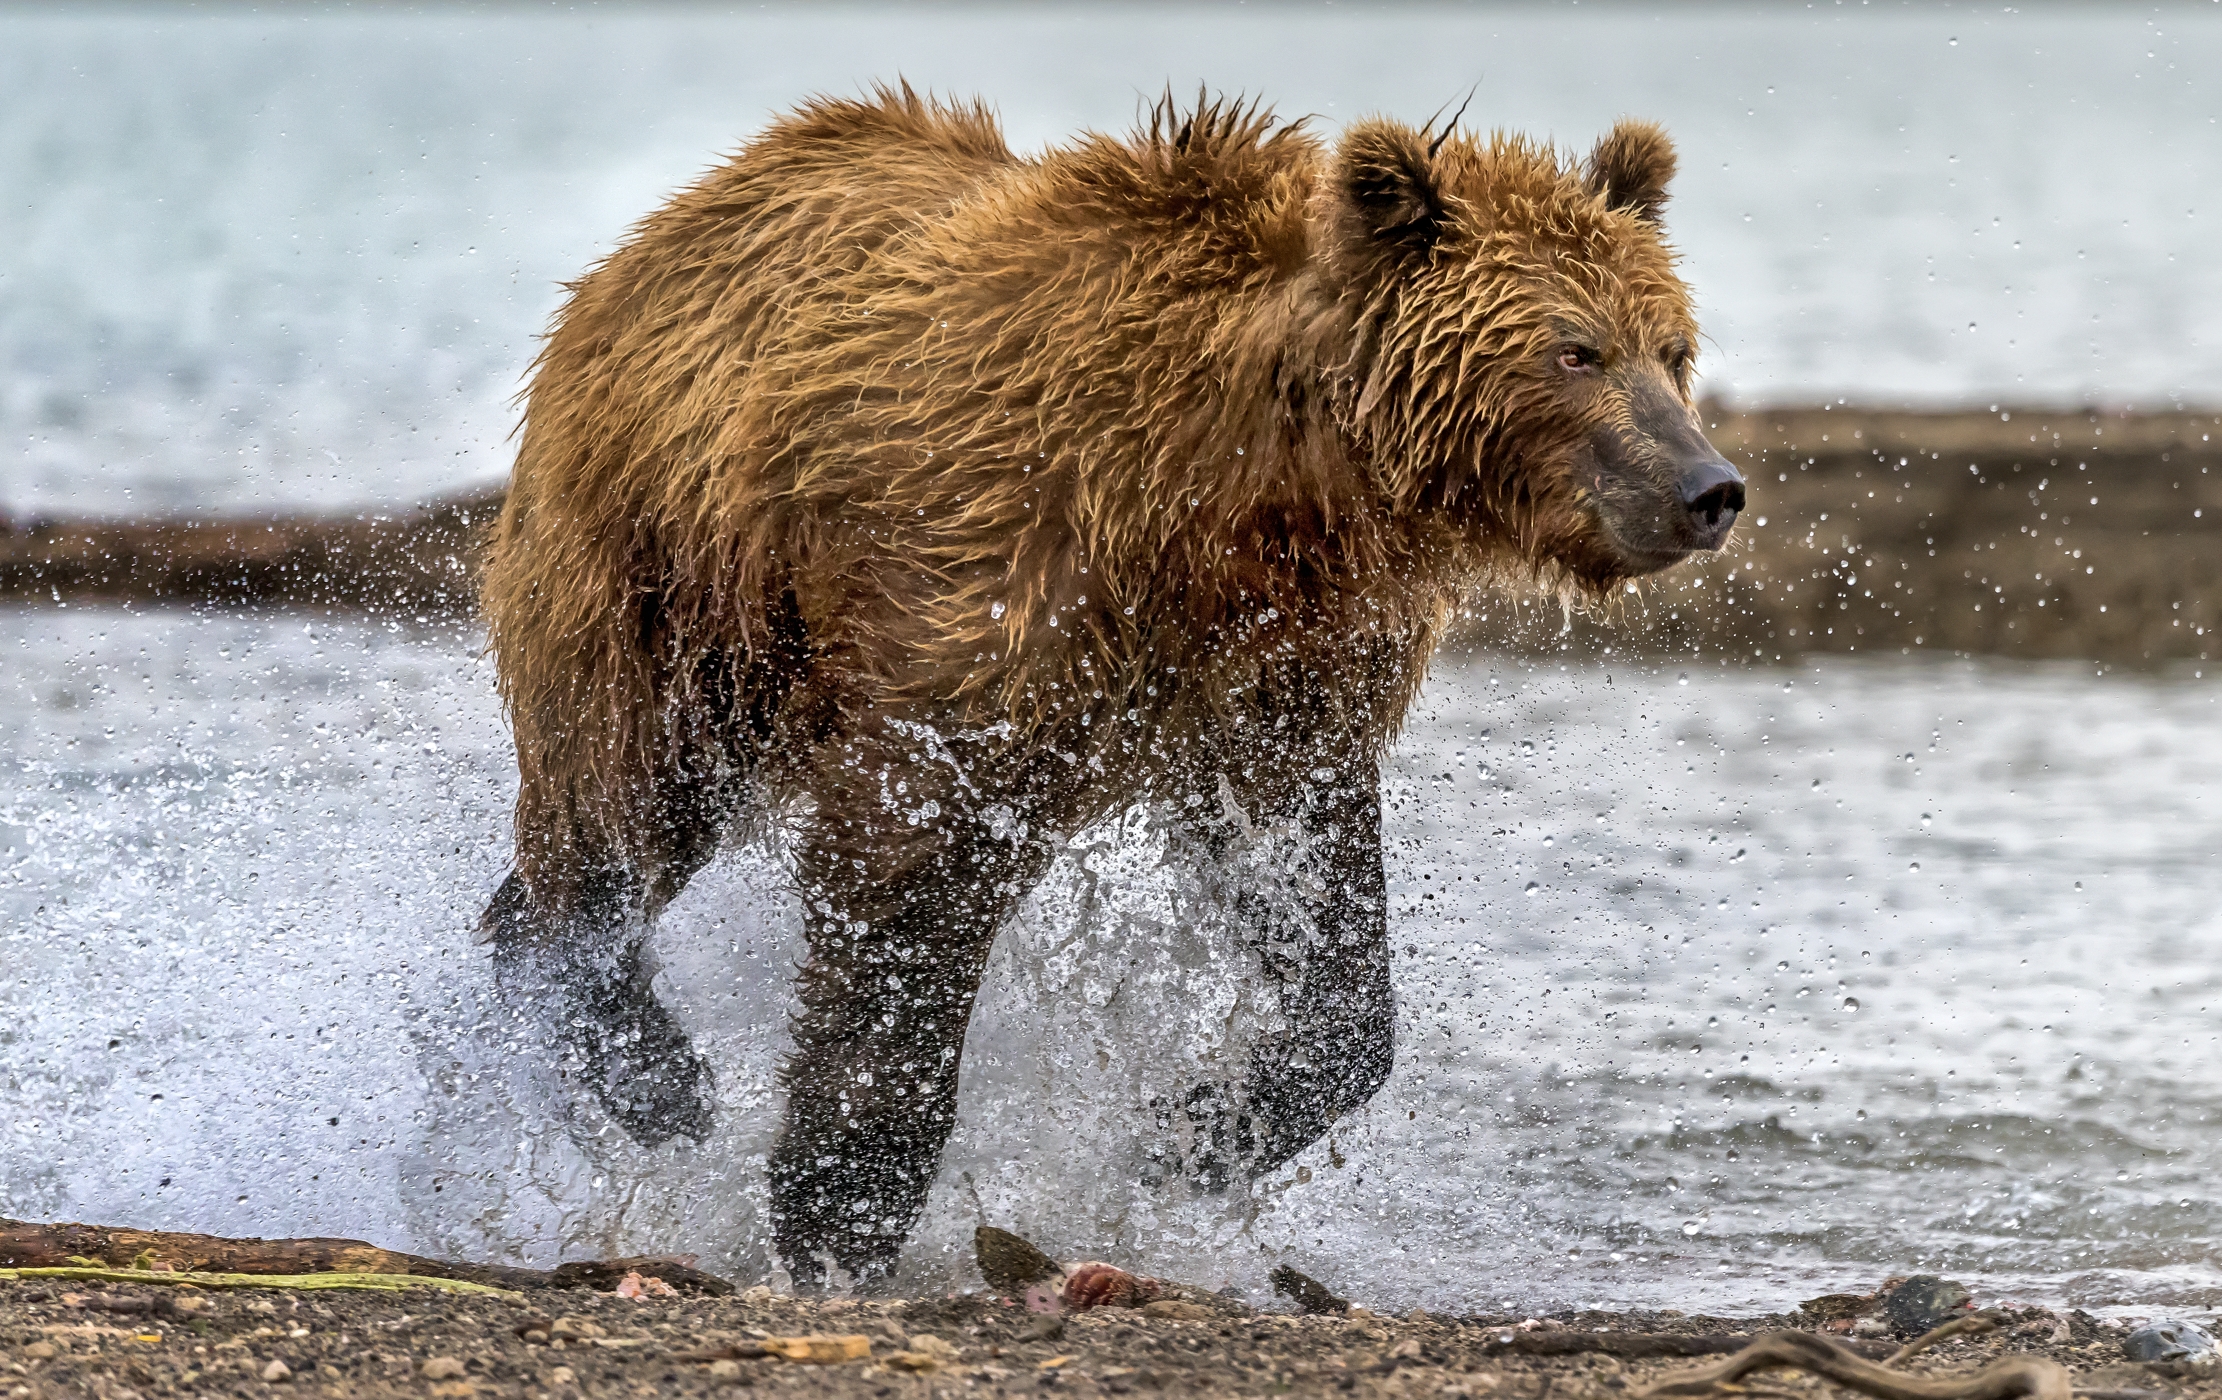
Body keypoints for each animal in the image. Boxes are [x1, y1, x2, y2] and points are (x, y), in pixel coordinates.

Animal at [477, 90, 1742, 1297]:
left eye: (1672, 346)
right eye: (1574, 348)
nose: (1707, 486)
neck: (1252, 480)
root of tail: (659, 234)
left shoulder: (1280, 668)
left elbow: (1316, 916)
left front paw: (1183, 1130)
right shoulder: (995, 589)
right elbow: (902, 895)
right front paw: (838, 1200)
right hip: (671, 576)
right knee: (619, 803)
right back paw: (657, 1072)